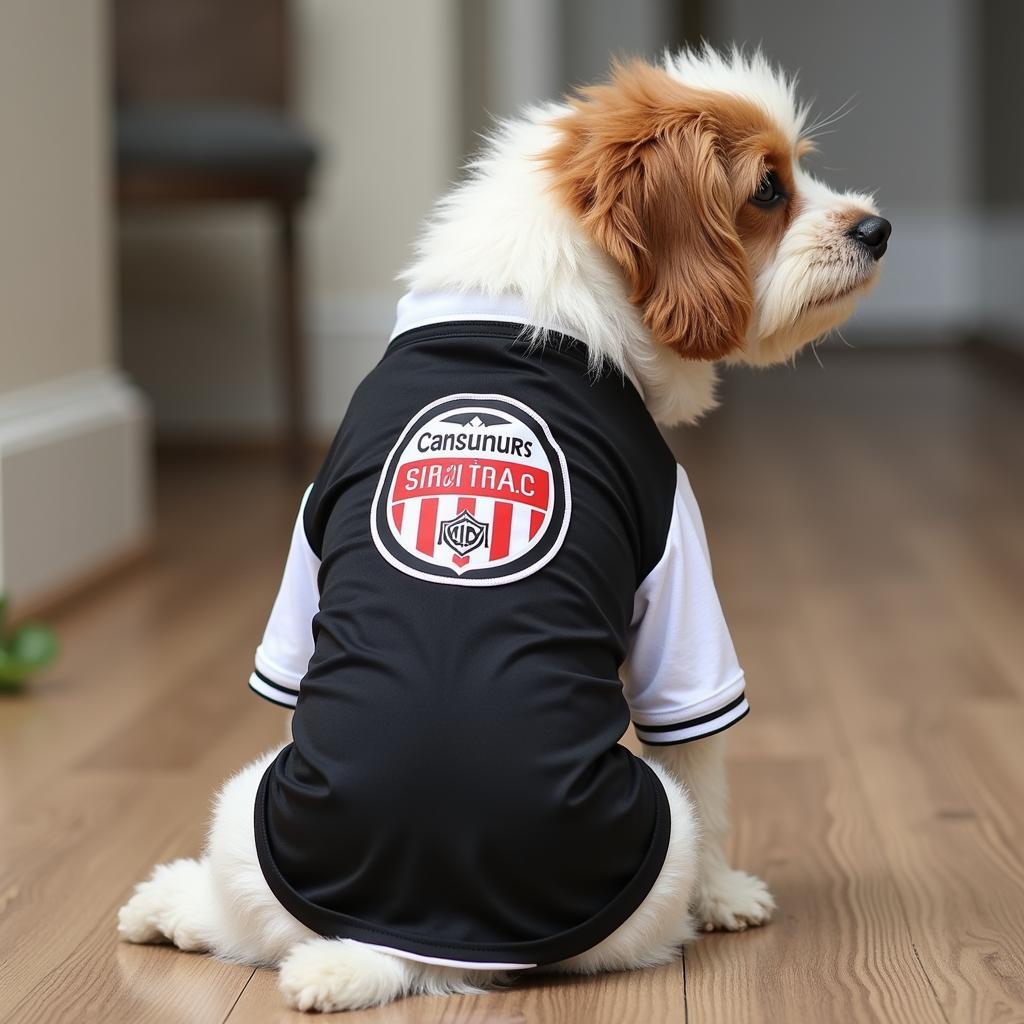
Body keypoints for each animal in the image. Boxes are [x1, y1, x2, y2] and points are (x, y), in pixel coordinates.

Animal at [117, 46, 888, 1007]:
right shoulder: (678, 568)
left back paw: (175, 912)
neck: (546, 304)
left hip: (245, 813)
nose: (878, 228)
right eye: (769, 190)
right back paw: (169, 900)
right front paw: (725, 894)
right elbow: (706, 769)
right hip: (647, 840)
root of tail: (414, 938)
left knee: (254, 922)